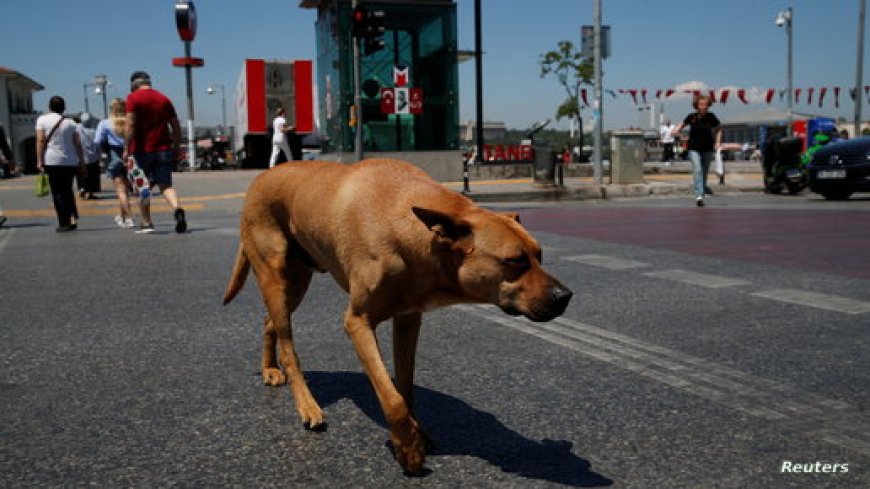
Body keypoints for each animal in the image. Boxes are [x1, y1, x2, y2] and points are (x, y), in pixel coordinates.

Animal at [223, 160, 572, 472]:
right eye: (515, 261)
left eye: (539, 256)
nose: (565, 296)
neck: (408, 230)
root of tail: (259, 179)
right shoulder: (357, 322)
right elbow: (391, 398)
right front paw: (408, 450)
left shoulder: (408, 319)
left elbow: (405, 386)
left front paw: (417, 434)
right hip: (275, 276)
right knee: (288, 344)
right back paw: (307, 404)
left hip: (296, 282)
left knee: (269, 322)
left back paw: (269, 369)